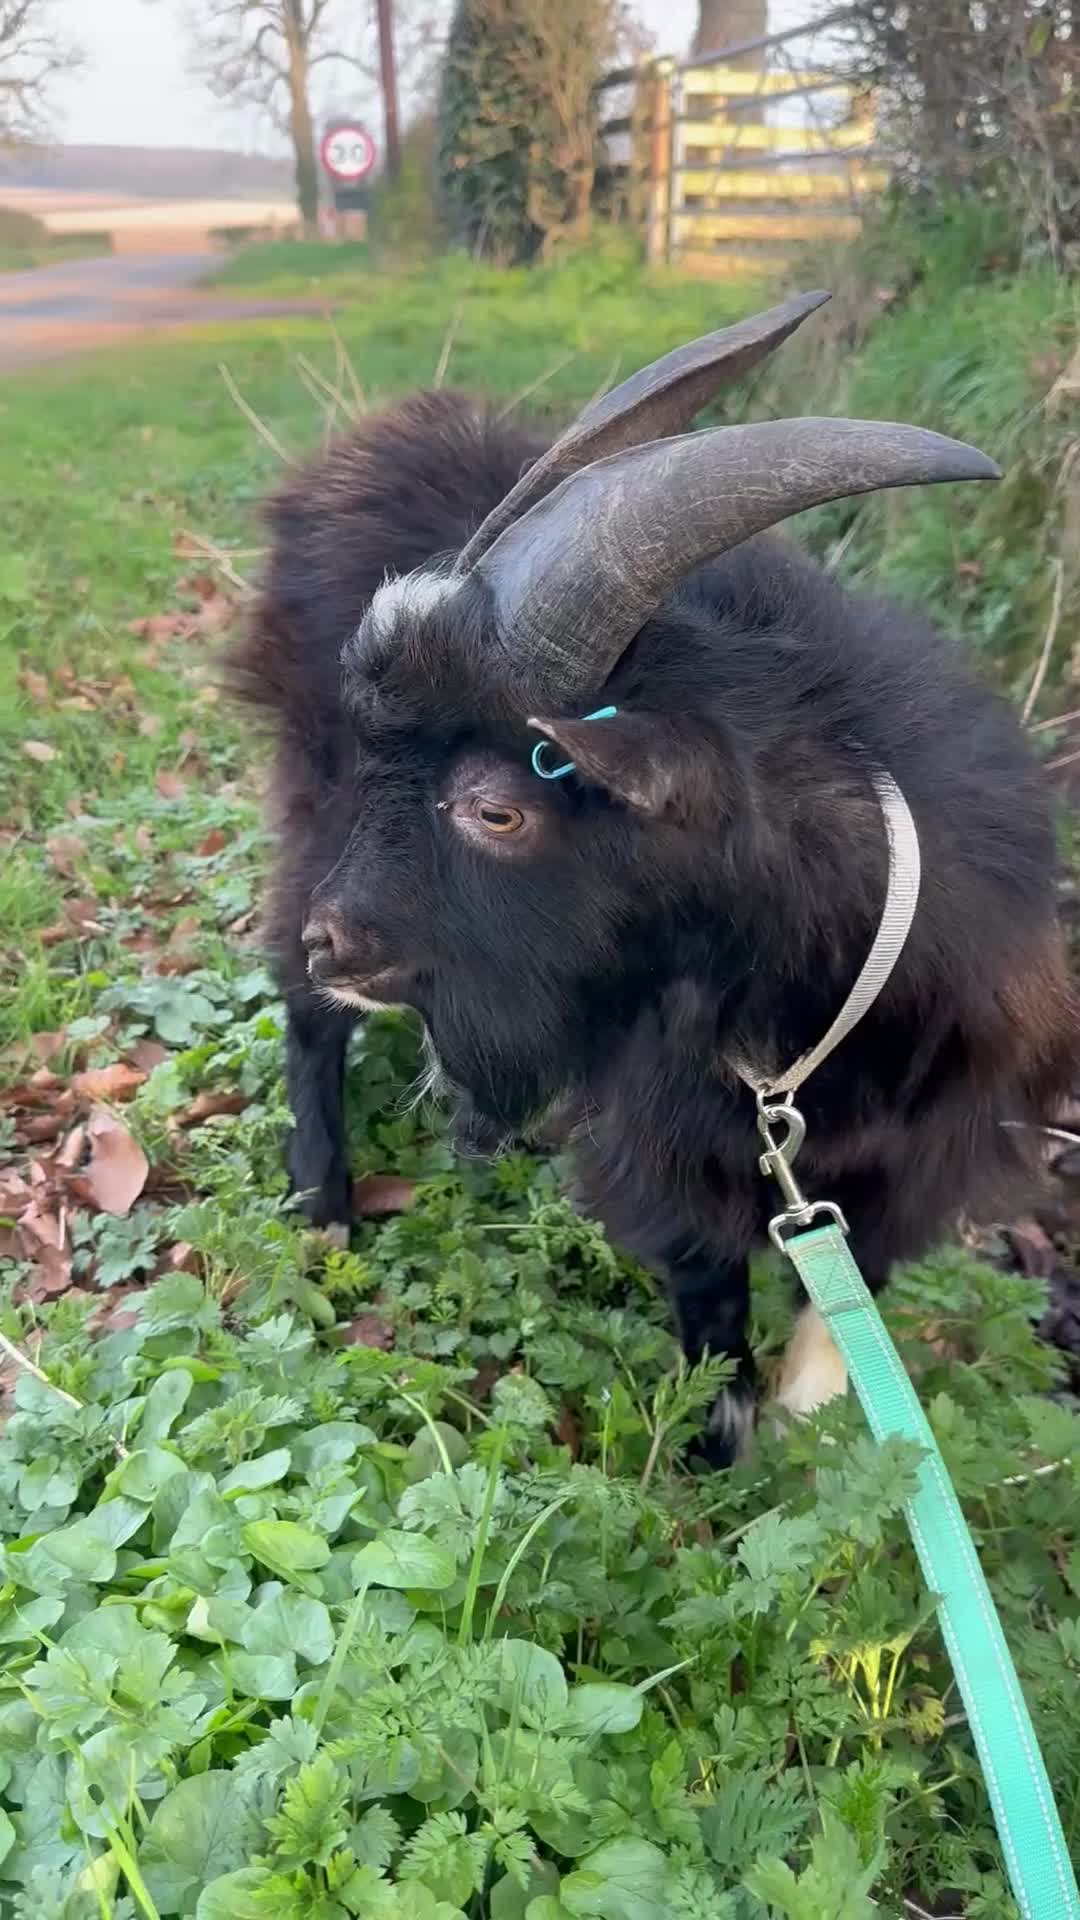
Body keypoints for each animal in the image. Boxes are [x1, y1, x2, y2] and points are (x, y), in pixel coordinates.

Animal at [228, 291, 1077, 1464]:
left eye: (497, 808)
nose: (339, 940)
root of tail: (371, 443)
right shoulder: (672, 1147)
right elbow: (713, 1309)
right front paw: (720, 1459)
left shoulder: (918, 1154)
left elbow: (840, 1296)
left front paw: (825, 1433)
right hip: (311, 811)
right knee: (304, 1013)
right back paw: (321, 1200)